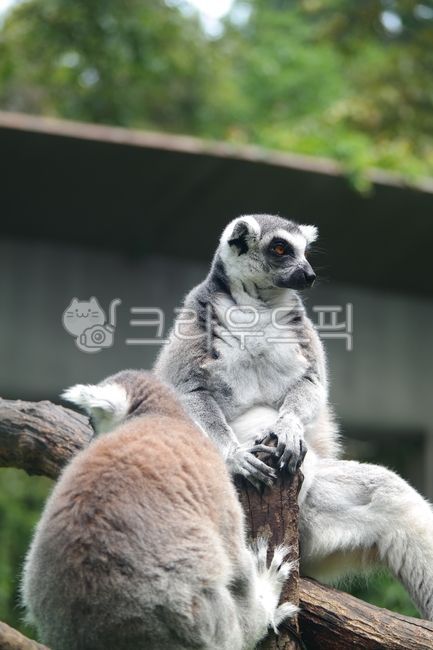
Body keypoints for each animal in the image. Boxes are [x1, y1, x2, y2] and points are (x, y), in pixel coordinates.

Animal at [21, 370, 296, 650]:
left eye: (91, 422)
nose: (90, 441)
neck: (164, 415)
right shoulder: (215, 485)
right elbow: (236, 563)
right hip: (202, 617)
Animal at [154, 214, 433, 621]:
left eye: (305, 251)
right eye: (280, 248)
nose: (310, 274)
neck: (257, 305)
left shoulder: (299, 331)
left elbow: (311, 382)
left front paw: (287, 428)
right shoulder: (198, 317)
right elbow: (187, 393)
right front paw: (236, 457)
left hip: (317, 524)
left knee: (390, 494)